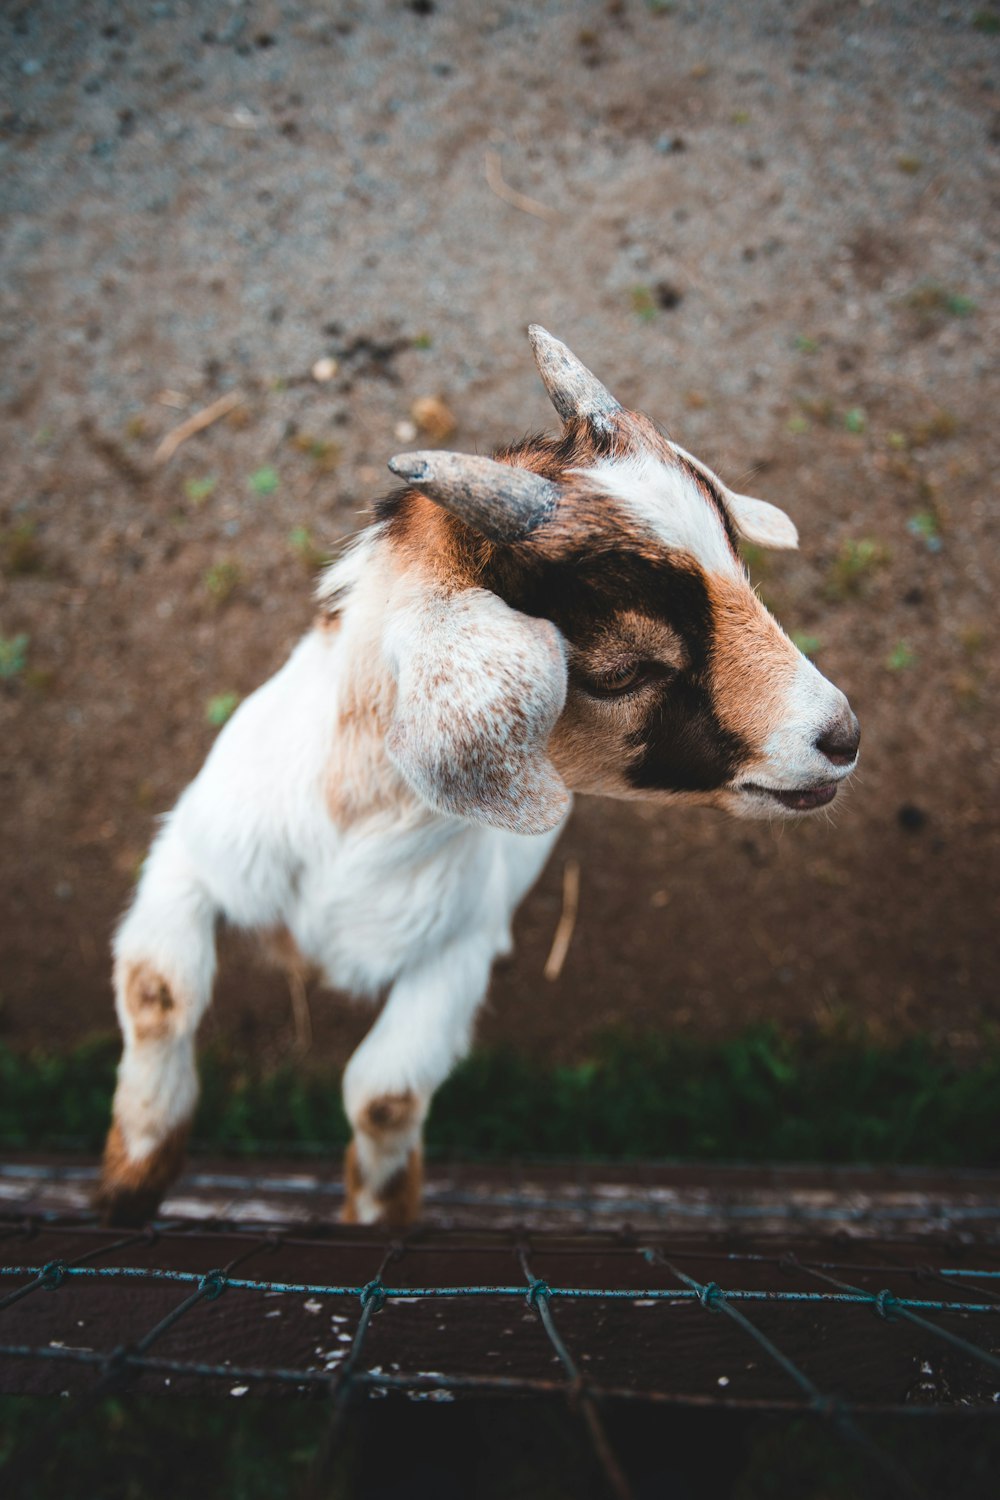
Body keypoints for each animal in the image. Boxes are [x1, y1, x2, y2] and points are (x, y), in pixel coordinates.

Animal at [95, 328, 863, 1230]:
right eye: (622, 670)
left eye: (742, 573)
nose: (840, 736)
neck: (350, 830)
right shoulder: (191, 855)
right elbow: (159, 993)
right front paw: (128, 1186)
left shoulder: (460, 947)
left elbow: (383, 1094)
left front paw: (379, 1216)